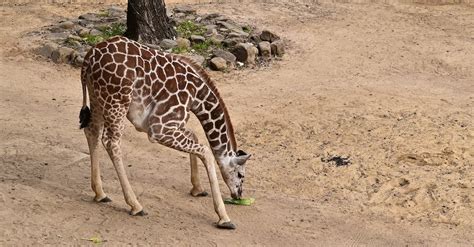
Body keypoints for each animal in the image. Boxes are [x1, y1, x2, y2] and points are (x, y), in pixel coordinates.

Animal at [80, 36, 252, 230]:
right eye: (241, 175)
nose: (238, 194)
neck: (198, 98)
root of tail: (89, 57)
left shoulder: (168, 124)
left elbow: (194, 135)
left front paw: (197, 189)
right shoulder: (159, 128)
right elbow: (206, 151)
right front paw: (224, 217)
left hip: (97, 97)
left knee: (92, 131)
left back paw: (100, 193)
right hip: (116, 101)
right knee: (111, 142)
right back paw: (135, 205)